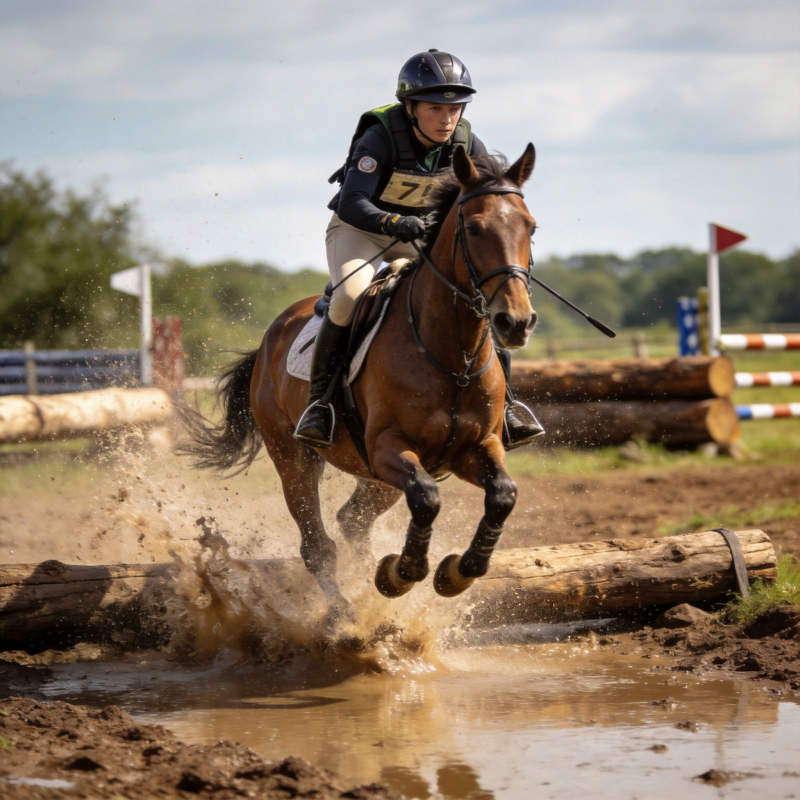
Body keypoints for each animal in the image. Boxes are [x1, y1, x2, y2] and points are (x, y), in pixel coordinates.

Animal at [181, 144, 538, 619]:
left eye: (531, 227)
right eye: (474, 228)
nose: (515, 322)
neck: (450, 356)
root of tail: (271, 336)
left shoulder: (476, 447)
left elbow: (502, 494)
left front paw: (455, 574)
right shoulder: (389, 447)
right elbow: (427, 498)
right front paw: (400, 575)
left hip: (374, 478)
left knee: (352, 520)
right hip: (295, 457)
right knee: (317, 544)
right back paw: (343, 616)